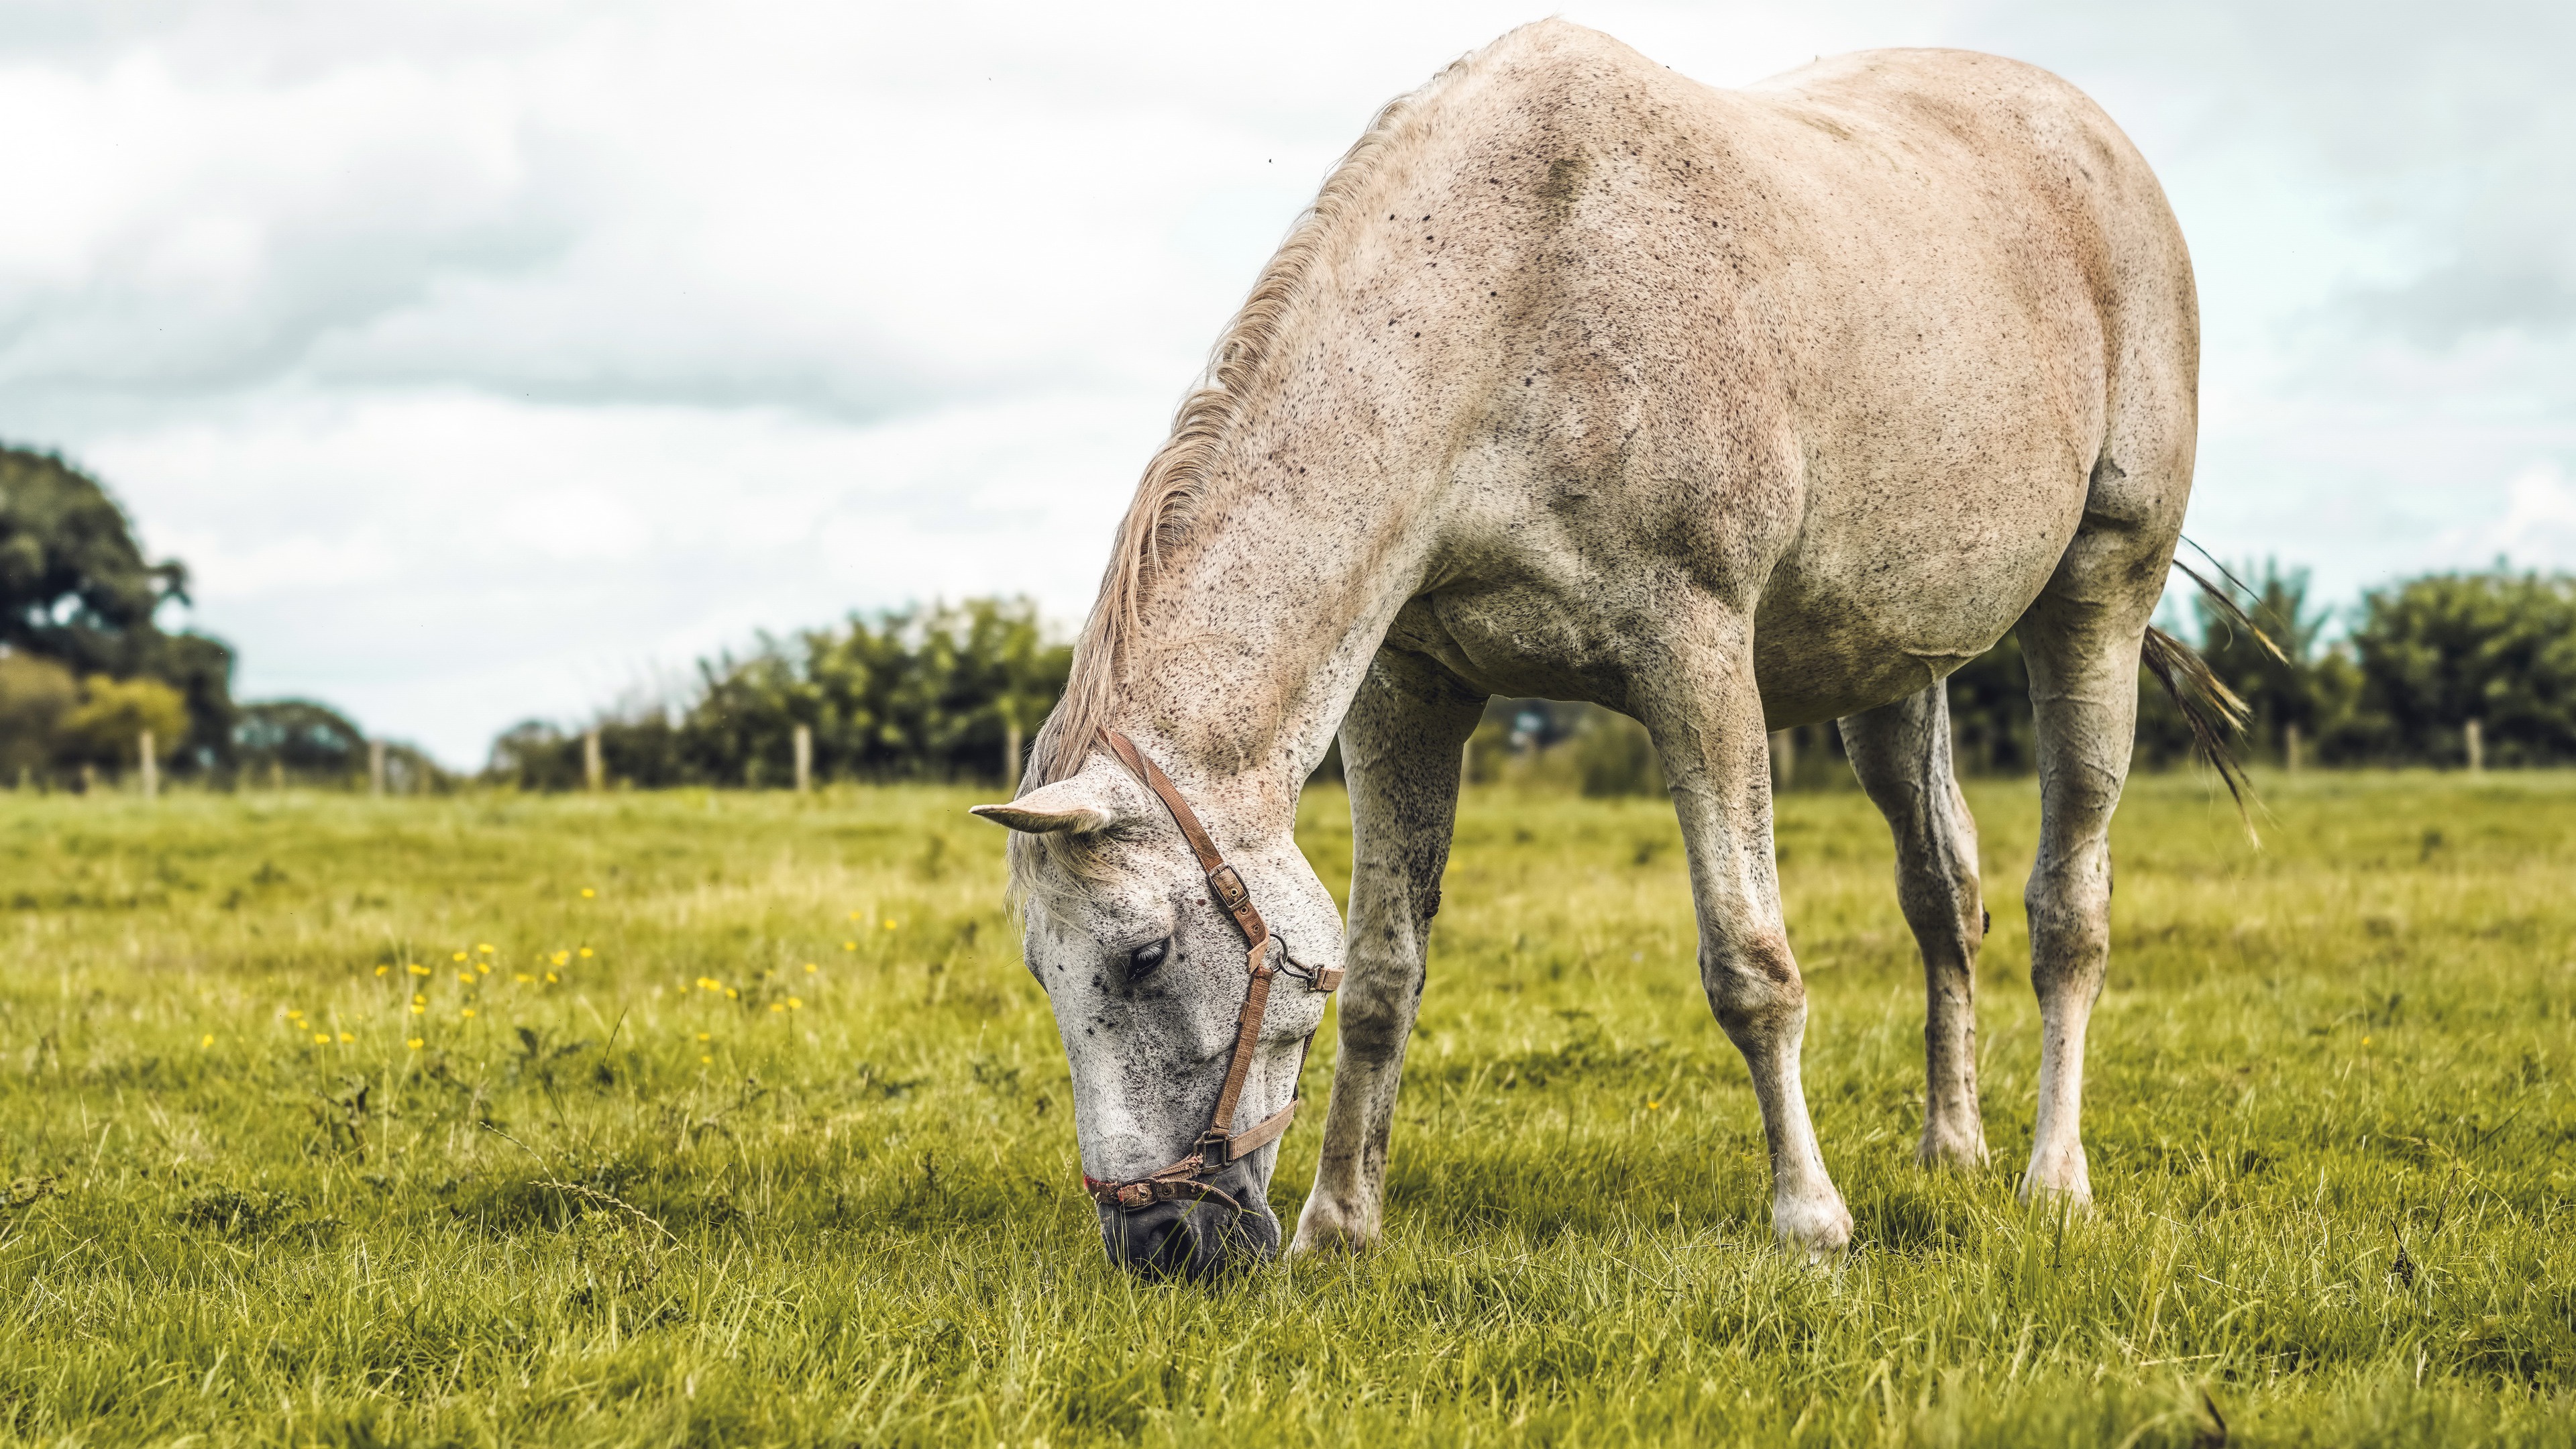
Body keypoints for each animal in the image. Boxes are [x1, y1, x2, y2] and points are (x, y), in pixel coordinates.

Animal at [973, 17, 2205, 1268]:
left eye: (1144, 956)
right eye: (1040, 969)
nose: (1160, 1243)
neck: (1519, 296)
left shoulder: (1697, 661)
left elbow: (1751, 966)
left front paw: (1810, 1221)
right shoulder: (1408, 691)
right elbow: (1381, 975)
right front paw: (1341, 1224)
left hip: (2099, 603)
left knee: (2069, 911)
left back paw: (2055, 1180)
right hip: (1894, 673)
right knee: (1943, 893)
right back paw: (1953, 1151)